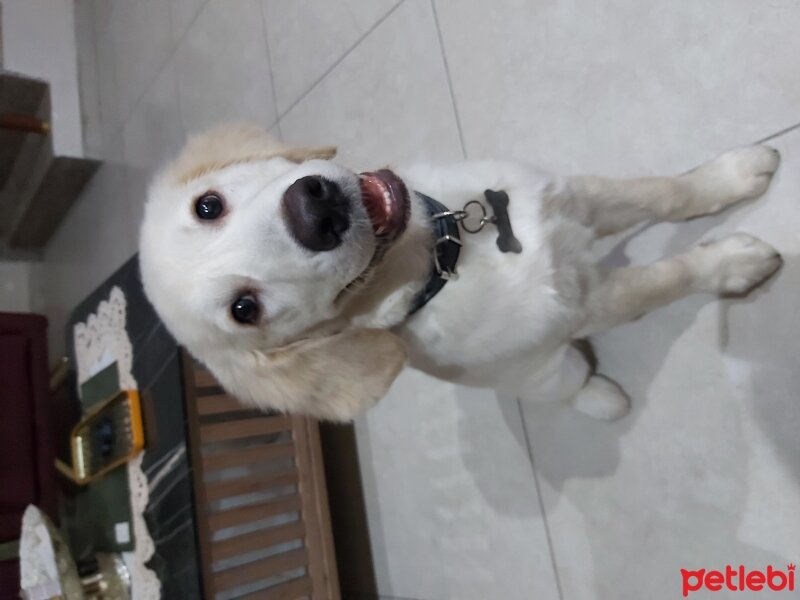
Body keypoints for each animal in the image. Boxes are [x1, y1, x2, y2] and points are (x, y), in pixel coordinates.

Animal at [138, 124, 780, 420]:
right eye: (244, 310)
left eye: (208, 205)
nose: (315, 211)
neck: (444, 253)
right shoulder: (584, 302)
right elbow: (666, 279)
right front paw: (734, 263)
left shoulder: (569, 194)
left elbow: (665, 192)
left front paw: (734, 174)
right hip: (550, 373)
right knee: (572, 387)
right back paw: (602, 397)